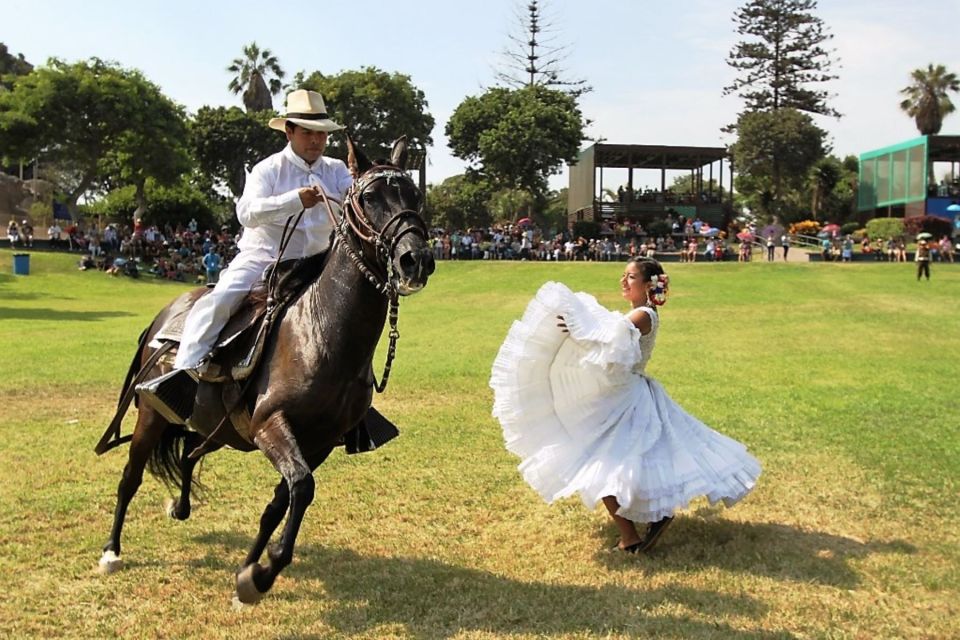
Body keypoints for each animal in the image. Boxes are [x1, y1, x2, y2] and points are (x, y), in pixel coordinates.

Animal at [97, 138, 436, 604]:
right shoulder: (269, 425)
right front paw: (262, 573)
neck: (319, 334)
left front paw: (249, 572)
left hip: (215, 427)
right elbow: (301, 488)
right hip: (152, 416)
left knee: (189, 453)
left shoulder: (319, 441)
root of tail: (162, 316)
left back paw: (180, 506)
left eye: (415, 195)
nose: (415, 260)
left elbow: (281, 502)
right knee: (130, 477)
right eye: (369, 197)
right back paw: (111, 551)